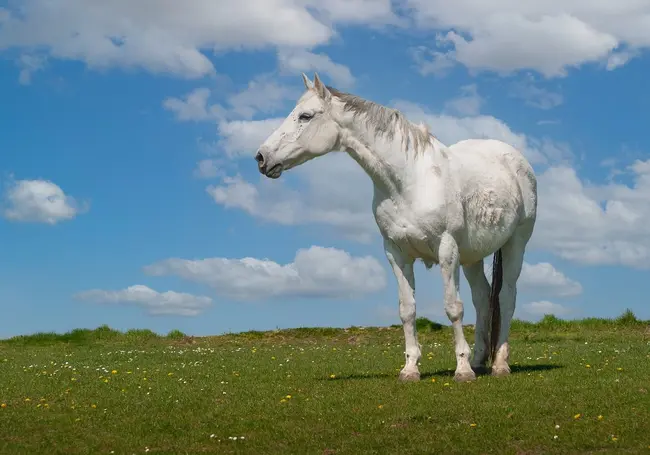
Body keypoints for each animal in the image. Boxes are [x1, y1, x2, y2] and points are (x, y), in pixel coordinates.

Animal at [254, 74, 536, 382]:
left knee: (505, 298)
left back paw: (499, 364)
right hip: (472, 257)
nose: (261, 157)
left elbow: (453, 308)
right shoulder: (396, 253)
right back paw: (479, 361)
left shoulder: (447, 249)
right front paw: (410, 369)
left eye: (305, 116)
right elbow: (407, 310)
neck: (408, 181)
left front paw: (461, 371)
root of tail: (515, 160)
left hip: (515, 244)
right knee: (483, 299)